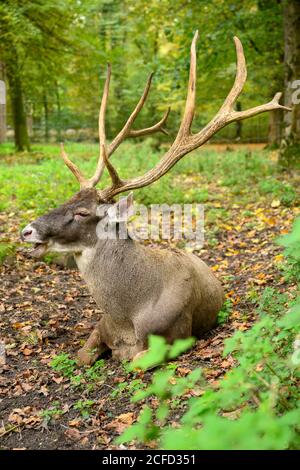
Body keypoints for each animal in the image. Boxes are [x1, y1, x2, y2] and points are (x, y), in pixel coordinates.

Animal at [20, 31, 288, 366]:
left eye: (82, 212)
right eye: (67, 198)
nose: (26, 230)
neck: (126, 318)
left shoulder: (176, 335)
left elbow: (135, 364)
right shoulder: (100, 326)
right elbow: (82, 356)